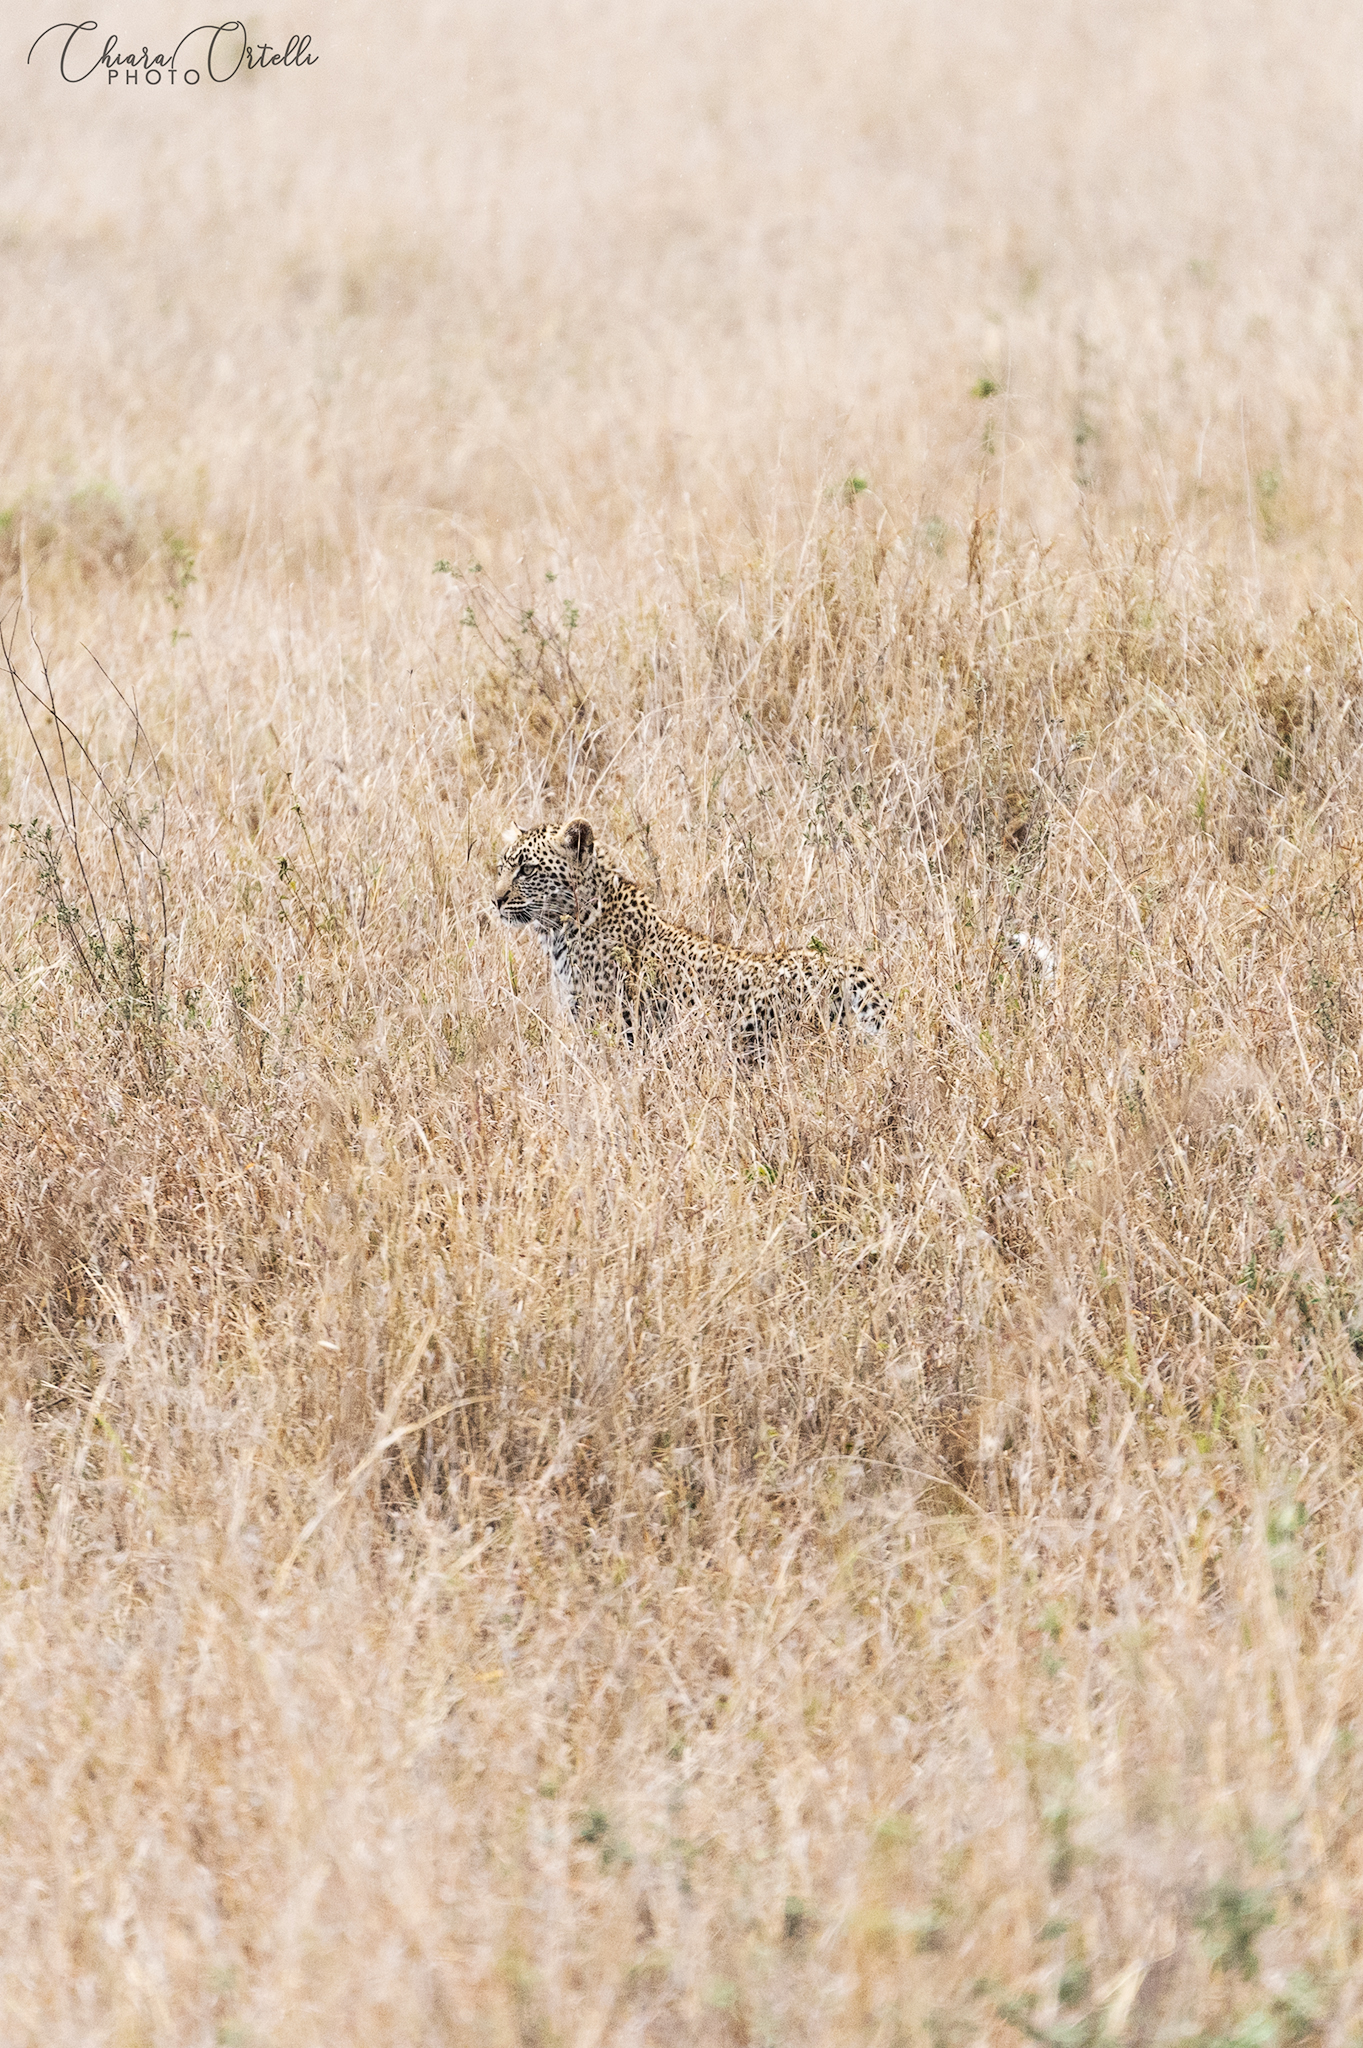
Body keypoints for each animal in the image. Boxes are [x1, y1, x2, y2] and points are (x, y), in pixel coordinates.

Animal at [494, 818, 887, 1050]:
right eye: (502, 866)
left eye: (527, 869)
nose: (495, 900)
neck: (562, 929)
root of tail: (848, 966)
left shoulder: (613, 1031)